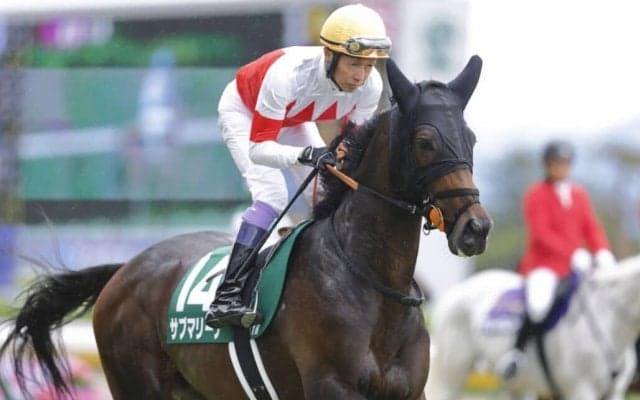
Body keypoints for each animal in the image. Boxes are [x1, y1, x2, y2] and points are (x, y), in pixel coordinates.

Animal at [0, 56, 492, 400]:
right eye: (425, 141)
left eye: (471, 138)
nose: (475, 228)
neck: (371, 284)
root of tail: (124, 270)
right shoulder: (332, 386)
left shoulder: (410, 390)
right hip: (134, 385)